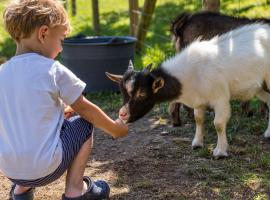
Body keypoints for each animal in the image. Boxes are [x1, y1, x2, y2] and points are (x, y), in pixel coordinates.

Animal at [106, 23, 270, 158]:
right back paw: (268, 133)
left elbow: (218, 124)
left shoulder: (220, 97)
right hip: (260, 87)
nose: (123, 114)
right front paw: (197, 143)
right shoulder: (199, 101)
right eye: (122, 93)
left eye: (142, 93)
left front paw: (220, 151)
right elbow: (199, 119)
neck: (191, 71)